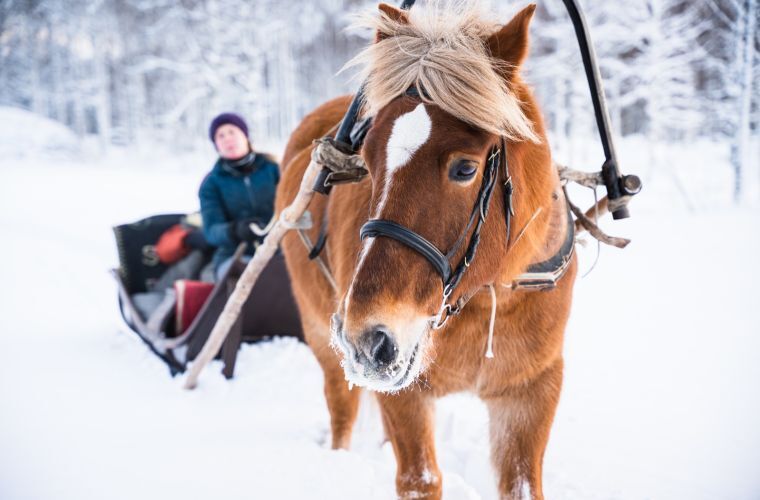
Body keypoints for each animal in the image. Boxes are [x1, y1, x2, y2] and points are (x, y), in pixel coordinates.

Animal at [276, 2, 577, 498]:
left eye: (465, 168)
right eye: (367, 161)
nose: (367, 338)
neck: (485, 299)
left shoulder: (531, 391)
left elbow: (521, 482)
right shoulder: (409, 395)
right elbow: (420, 477)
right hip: (321, 333)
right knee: (341, 411)